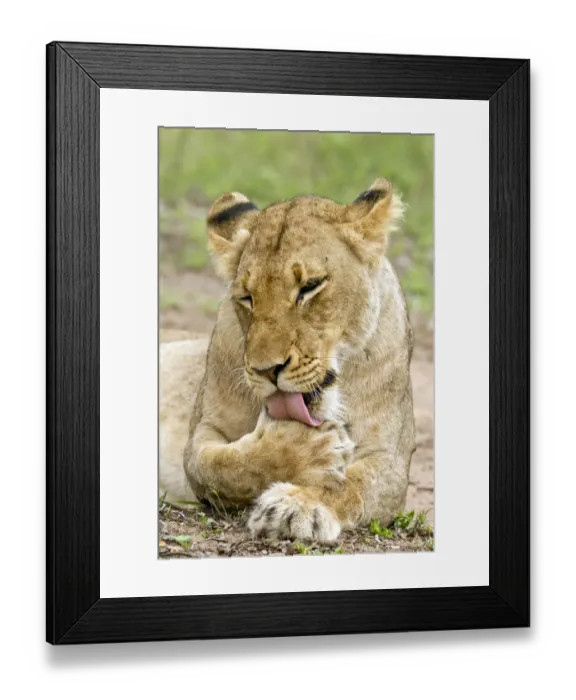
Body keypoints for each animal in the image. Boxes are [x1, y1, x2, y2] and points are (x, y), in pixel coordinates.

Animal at [159, 178, 416, 543]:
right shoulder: (204, 430)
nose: (268, 371)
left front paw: (296, 507)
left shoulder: (389, 459)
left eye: (310, 286)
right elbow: (221, 466)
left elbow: (351, 485)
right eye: (247, 298)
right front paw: (308, 451)